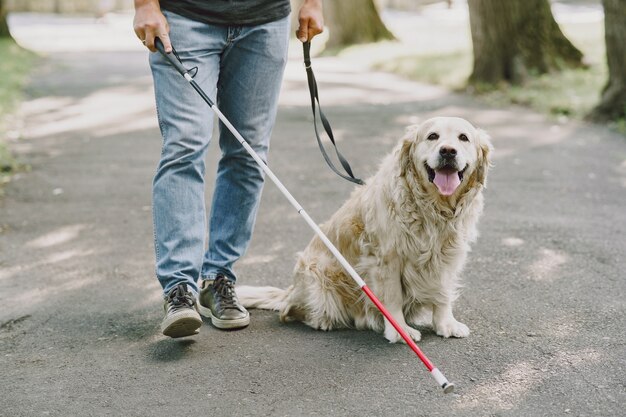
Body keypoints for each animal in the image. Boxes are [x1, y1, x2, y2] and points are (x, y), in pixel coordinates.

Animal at [236, 116, 490, 342]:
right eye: (432, 136)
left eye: (463, 138)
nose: (448, 151)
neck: (434, 208)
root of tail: (290, 289)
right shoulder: (386, 259)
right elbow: (393, 297)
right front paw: (400, 331)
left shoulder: (448, 255)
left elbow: (443, 293)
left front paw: (446, 324)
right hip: (317, 273)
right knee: (289, 310)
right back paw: (324, 320)